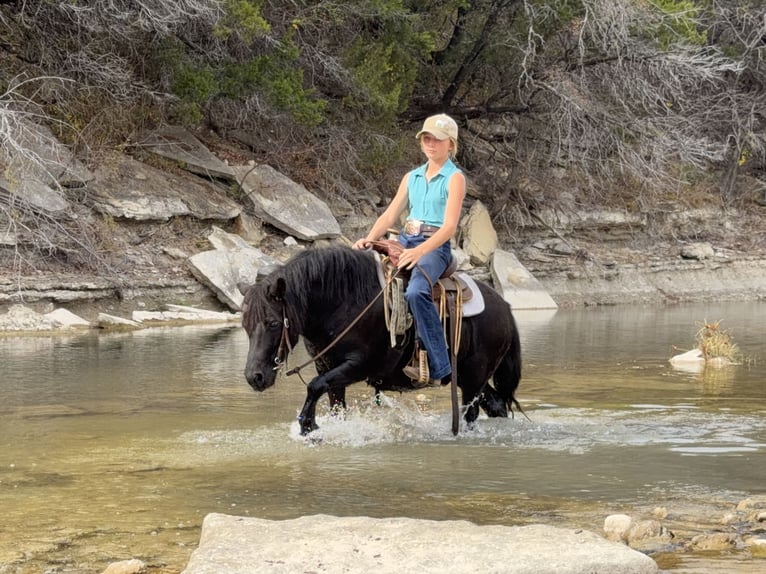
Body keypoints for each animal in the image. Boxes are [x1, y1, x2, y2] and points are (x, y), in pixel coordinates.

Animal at [240, 244, 522, 436]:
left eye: (273, 323)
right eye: (245, 325)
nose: (255, 377)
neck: (344, 301)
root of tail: (505, 308)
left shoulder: (358, 366)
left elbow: (313, 386)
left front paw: (308, 426)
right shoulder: (328, 368)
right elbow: (332, 401)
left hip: (474, 377)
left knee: (470, 413)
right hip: (467, 376)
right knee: (496, 404)